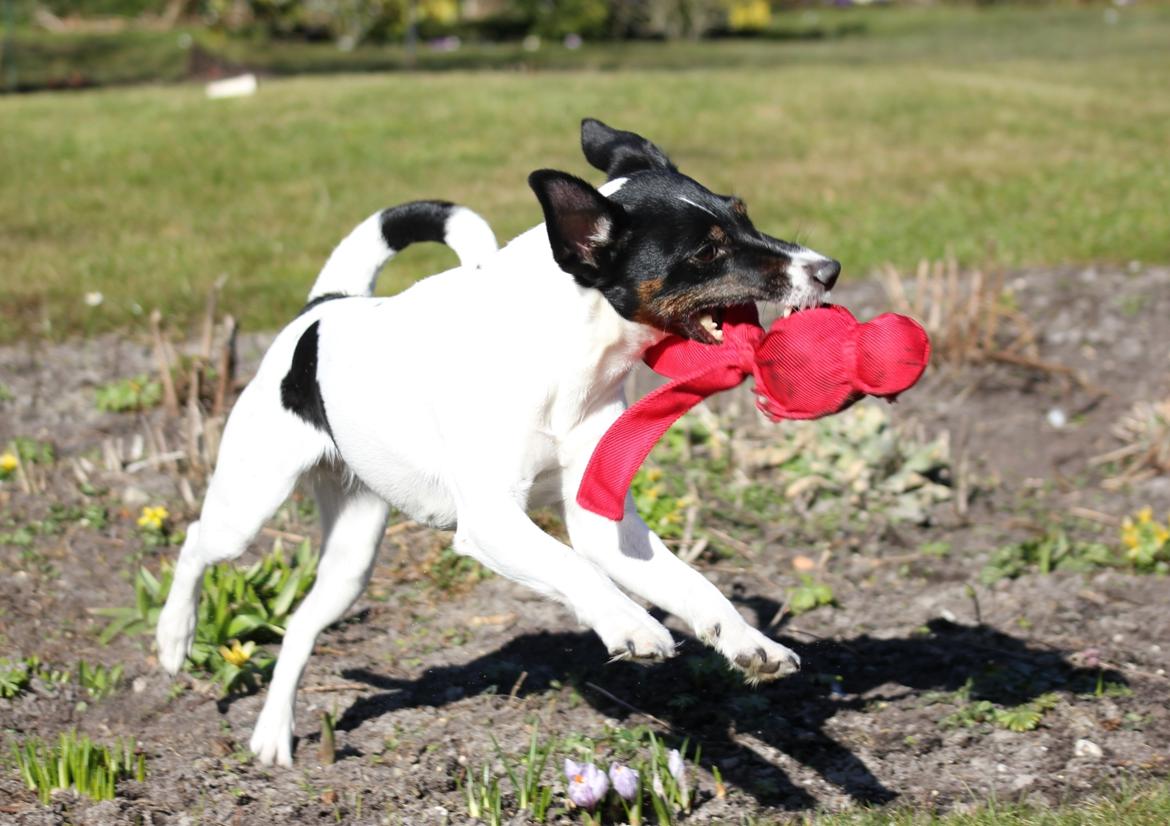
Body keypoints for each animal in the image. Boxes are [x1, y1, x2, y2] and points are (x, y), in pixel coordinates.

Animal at [155, 119, 842, 762]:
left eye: (743, 213)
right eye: (705, 253)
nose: (828, 269)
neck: (563, 357)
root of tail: (324, 309)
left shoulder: (606, 525)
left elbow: (695, 585)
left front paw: (750, 643)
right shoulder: (490, 523)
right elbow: (574, 568)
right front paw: (628, 622)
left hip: (353, 553)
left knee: (299, 625)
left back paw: (273, 734)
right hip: (250, 501)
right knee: (194, 542)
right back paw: (173, 637)